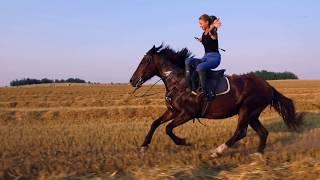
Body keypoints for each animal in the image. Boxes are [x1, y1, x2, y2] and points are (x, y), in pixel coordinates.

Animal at [129, 44, 304, 158]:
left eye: (144, 61)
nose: (132, 80)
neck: (179, 82)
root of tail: (268, 86)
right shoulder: (173, 111)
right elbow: (155, 123)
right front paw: (143, 146)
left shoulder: (187, 114)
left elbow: (168, 128)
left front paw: (185, 142)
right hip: (253, 114)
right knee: (263, 132)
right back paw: (258, 155)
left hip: (246, 110)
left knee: (240, 132)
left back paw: (217, 151)